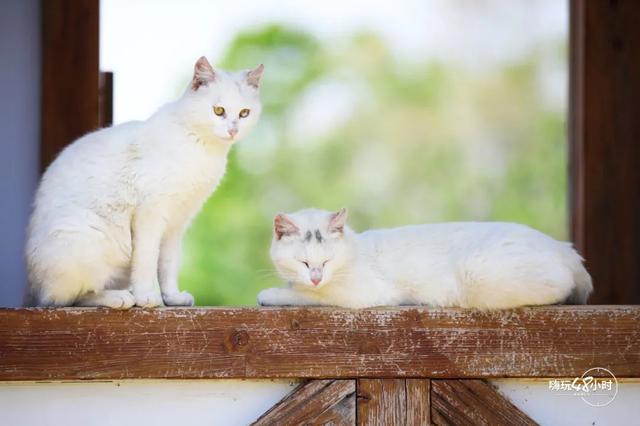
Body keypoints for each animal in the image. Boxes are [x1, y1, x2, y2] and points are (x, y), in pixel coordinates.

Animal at [27, 57, 262, 310]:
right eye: (218, 111)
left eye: (244, 113)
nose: (233, 130)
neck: (201, 146)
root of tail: (34, 289)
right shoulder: (149, 215)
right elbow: (147, 260)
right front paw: (146, 296)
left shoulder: (177, 223)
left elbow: (168, 264)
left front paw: (172, 297)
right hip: (86, 240)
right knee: (67, 299)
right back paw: (119, 297)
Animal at [258, 207, 592, 310]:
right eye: (303, 262)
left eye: (326, 261)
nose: (316, 277)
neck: (355, 249)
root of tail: (563, 247)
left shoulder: (359, 294)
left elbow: (303, 295)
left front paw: (271, 294)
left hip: (479, 274)